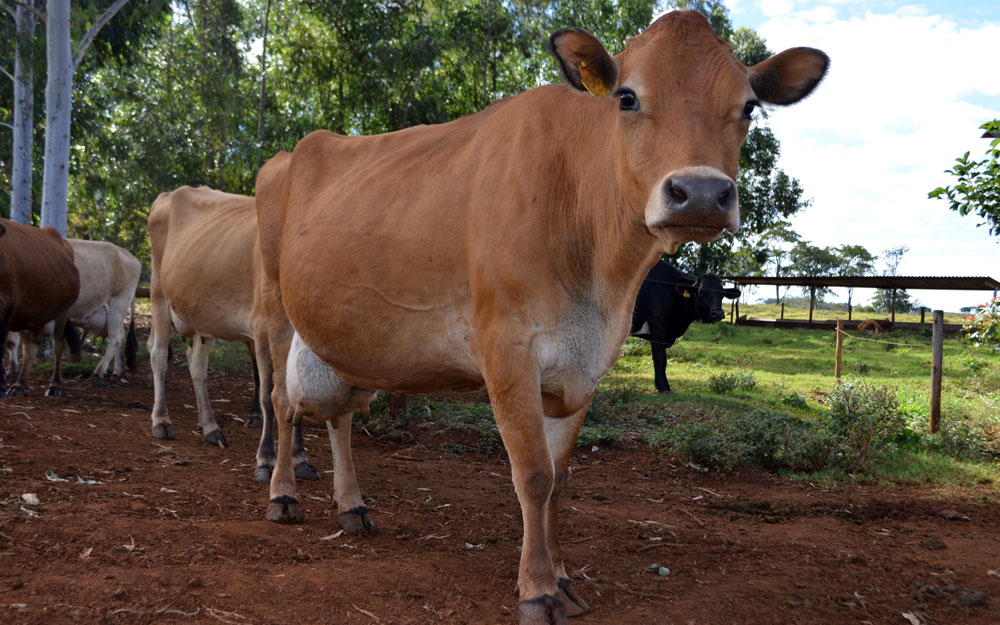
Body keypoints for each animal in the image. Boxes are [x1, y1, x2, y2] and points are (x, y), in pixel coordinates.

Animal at [0, 217, 82, 398]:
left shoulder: (6, 309)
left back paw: (55, 385)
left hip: (62, 313)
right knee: (29, 349)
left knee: (58, 346)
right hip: (26, 313)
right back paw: (20, 384)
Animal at [628, 260, 740, 392]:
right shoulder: (657, 325)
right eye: (701, 293)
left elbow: (665, 360)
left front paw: (667, 386)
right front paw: (661, 387)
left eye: (722, 294)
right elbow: (659, 357)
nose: (718, 313)